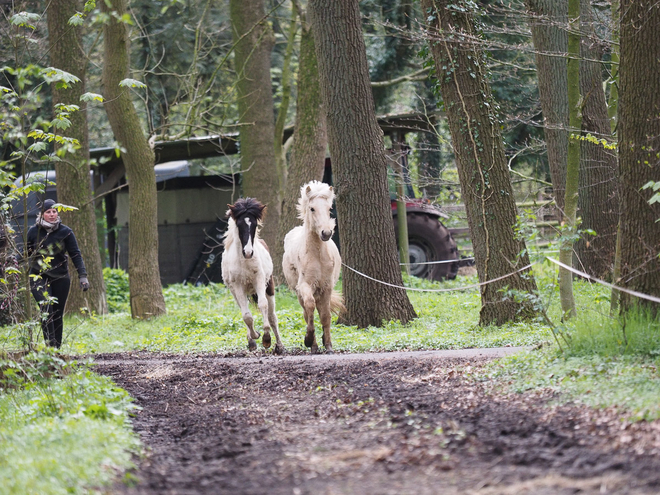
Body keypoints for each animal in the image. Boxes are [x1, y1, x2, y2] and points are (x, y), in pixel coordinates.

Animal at [222, 197, 284, 352]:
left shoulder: (259, 281)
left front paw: (266, 338)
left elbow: (263, 305)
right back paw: (251, 339)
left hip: (269, 288)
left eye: (254, 224)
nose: (249, 252)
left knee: (272, 316)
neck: (245, 262)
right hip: (236, 294)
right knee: (245, 312)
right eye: (239, 224)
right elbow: (247, 316)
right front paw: (255, 336)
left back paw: (279, 345)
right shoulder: (238, 287)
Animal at [282, 180, 346, 354]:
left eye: (330, 209)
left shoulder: (327, 287)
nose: (326, 233)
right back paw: (314, 345)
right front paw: (309, 340)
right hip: (300, 292)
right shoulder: (305, 285)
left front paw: (328, 345)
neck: (317, 255)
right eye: (312, 208)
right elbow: (310, 308)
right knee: (307, 311)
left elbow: (325, 315)